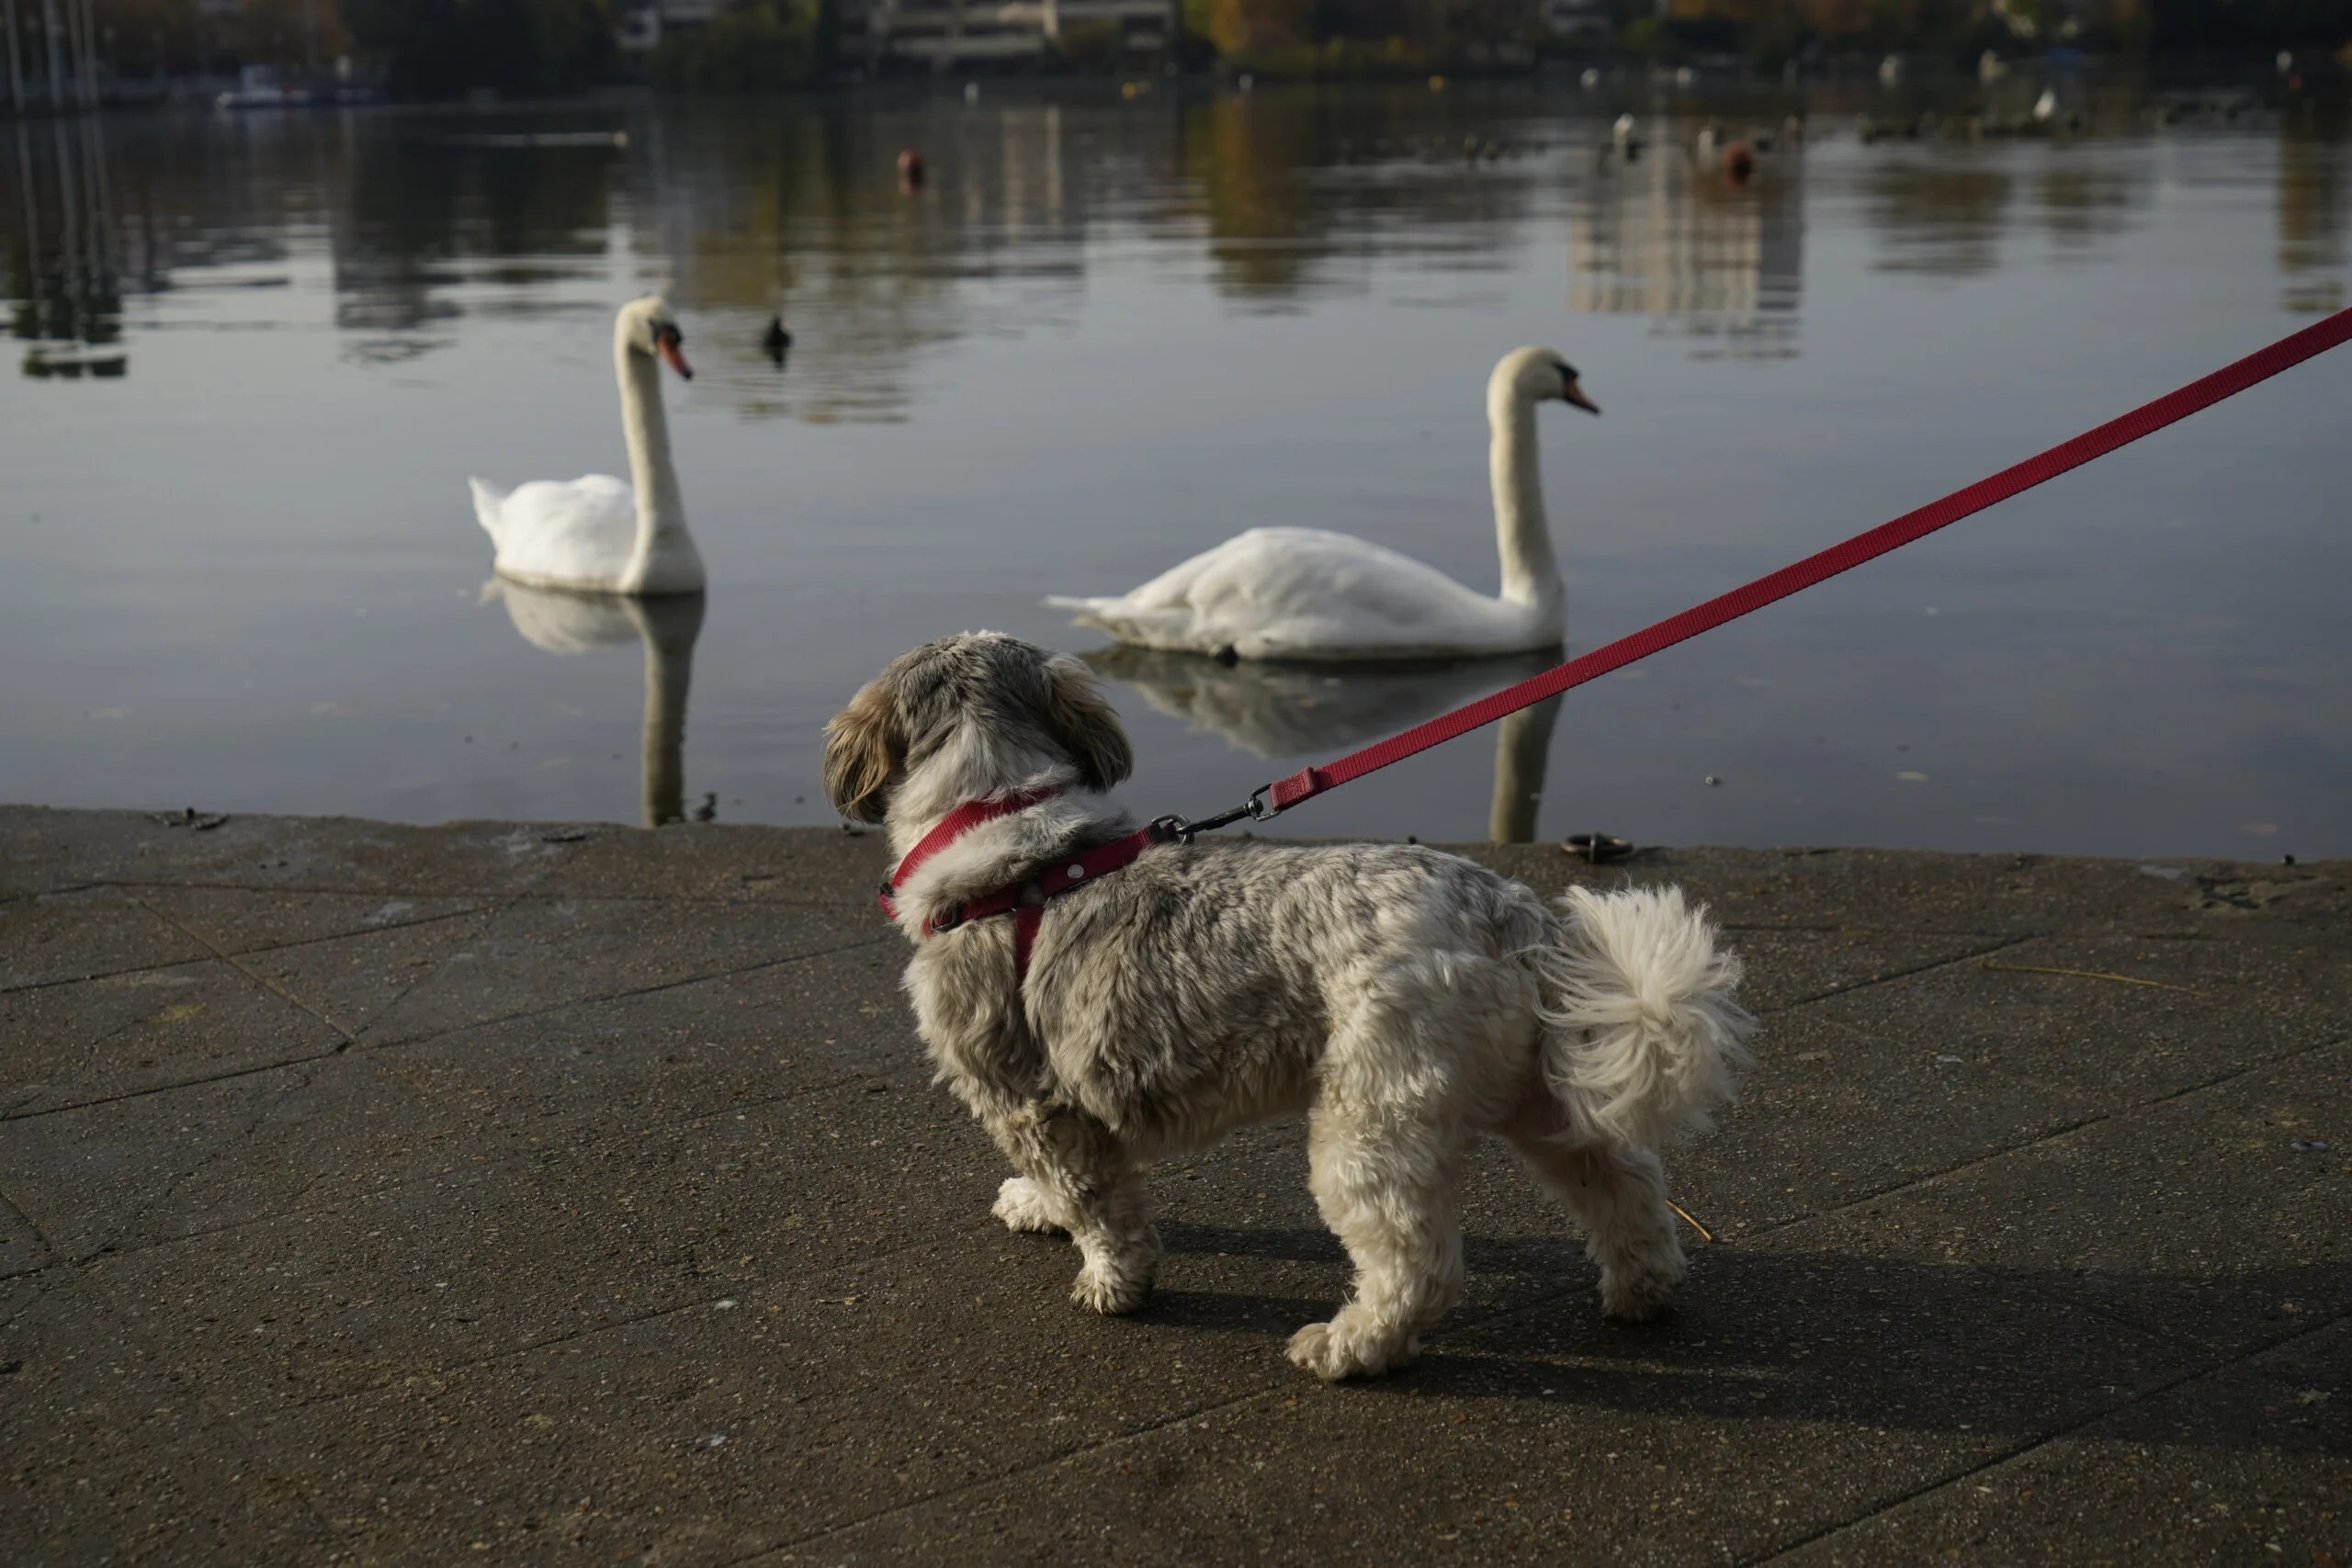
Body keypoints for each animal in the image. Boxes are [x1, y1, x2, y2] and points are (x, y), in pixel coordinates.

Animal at [818, 629, 1758, 1382]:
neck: (1003, 830)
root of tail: (1509, 917)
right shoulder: (1054, 1106)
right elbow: (1066, 1184)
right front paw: (1037, 1207)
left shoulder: (1027, 1094)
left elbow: (1100, 1205)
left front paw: (1109, 1283)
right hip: (1547, 1094)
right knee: (1624, 1183)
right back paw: (1640, 1289)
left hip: (1369, 1125)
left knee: (1416, 1264)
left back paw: (1350, 1347)